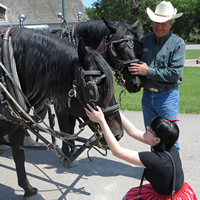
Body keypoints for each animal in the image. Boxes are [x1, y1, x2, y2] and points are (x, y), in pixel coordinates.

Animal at [0, 27, 123, 200]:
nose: (118, 134)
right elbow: (66, 128)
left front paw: (27, 188)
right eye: (94, 90)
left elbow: (19, 156)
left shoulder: (17, 124)